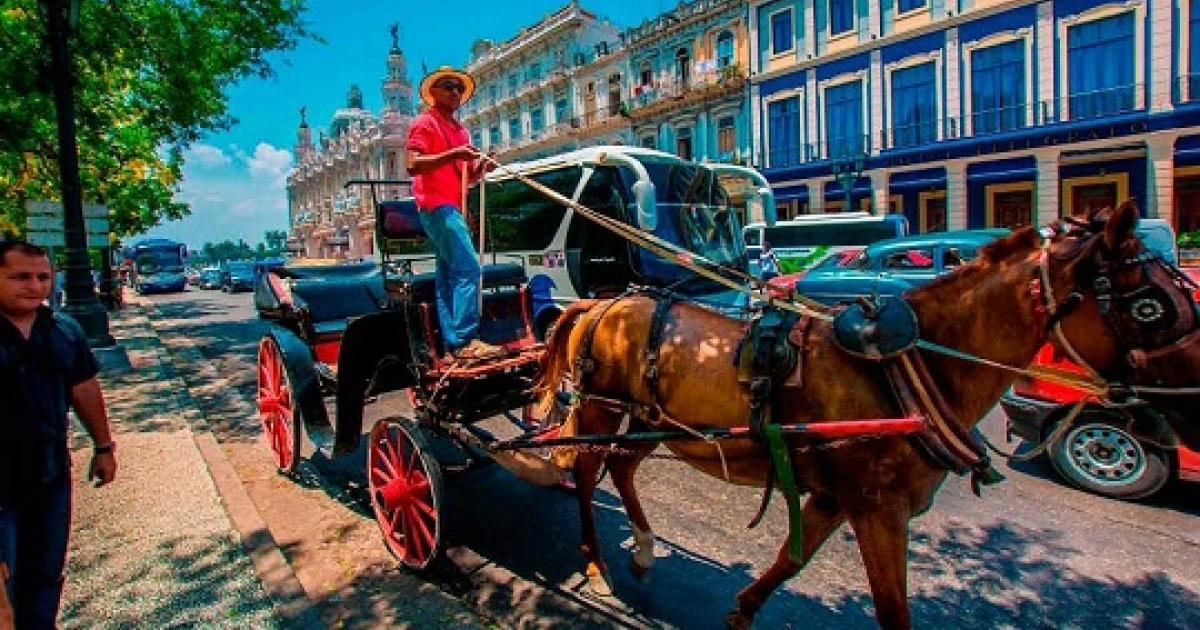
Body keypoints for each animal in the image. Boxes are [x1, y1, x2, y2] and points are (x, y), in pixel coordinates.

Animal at [540, 202, 1200, 628]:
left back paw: (645, 549)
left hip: (654, 423)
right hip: (600, 409)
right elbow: (891, 610)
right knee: (585, 472)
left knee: (622, 468)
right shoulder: (879, 509)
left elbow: (791, 559)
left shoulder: (837, 497)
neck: (911, 368)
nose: (1193, 407)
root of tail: (601, 303)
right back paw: (595, 560)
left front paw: (744, 609)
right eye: (1149, 307)